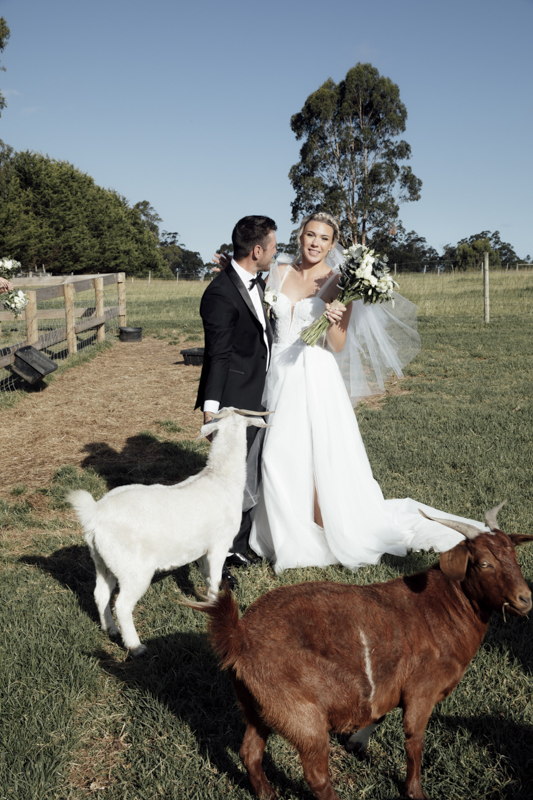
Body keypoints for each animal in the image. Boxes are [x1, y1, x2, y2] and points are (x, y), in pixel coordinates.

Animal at [68, 406, 268, 656]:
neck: (220, 478)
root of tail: (95, 514)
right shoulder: (219, 545)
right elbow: (214, 579)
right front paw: (216, 608)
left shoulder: (201, 548)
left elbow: (205, 576)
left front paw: (206, 604)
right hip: (134, 570)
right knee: (122, 605)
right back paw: (135, 646)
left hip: (103, 561)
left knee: (101, 594)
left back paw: (110, 630)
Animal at [188, 504, 532, 796]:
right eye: (484, 563)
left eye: (514, 556)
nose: (525, 598)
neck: (443, 608)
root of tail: (238, 636)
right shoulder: (422, 690)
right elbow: (414, 741)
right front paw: (415, 792)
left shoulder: (390, 684)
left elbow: (380, 713)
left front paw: (356, 742)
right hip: (300, 713)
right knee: (316, 775)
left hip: (256, 705)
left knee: (250, 752)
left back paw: (268, 794)